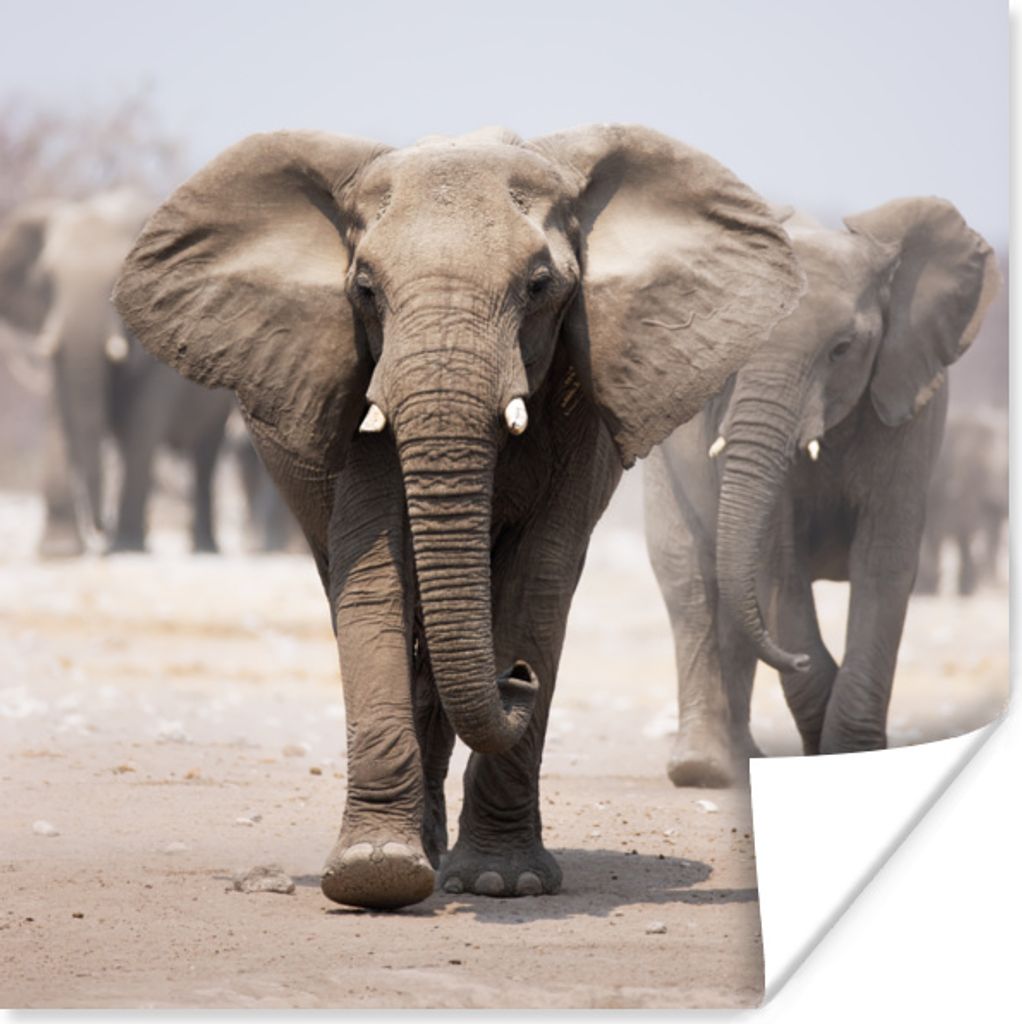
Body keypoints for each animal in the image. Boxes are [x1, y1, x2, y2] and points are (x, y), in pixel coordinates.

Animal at [0, 191, 234, 555]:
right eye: (46, 281)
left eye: (119, 279)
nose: (99, 530)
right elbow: (61, 416)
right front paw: (59, 552)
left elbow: (142, 421)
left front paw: (125, 547)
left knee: (204, 454)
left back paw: (203, 549)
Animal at [113, 124, 804, 909]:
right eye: (364, 289)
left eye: (539, 287)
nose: (518, 679)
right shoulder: (359, 378)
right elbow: (374, 570)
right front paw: (377, 873)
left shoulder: (581, 398)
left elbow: (542, 575)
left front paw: (505, 881)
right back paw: (423, 844)